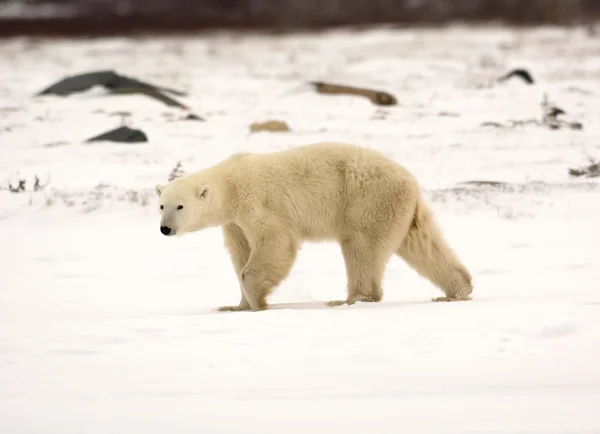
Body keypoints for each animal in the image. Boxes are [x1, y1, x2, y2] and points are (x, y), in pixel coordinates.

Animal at [155, 142, 474, 312]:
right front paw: (235, 306)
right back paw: (455, 290)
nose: (165, 229)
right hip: (401, 208)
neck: (230, 182)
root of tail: (411, 179)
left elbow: (275, 243)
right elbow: (240, 252)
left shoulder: (257, 202)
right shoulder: (234, 221)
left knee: (361, 245)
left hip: (367, 199)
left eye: (179, 206)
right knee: (423, 243)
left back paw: (349, 299)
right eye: (161, 205)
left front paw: (258, 302)